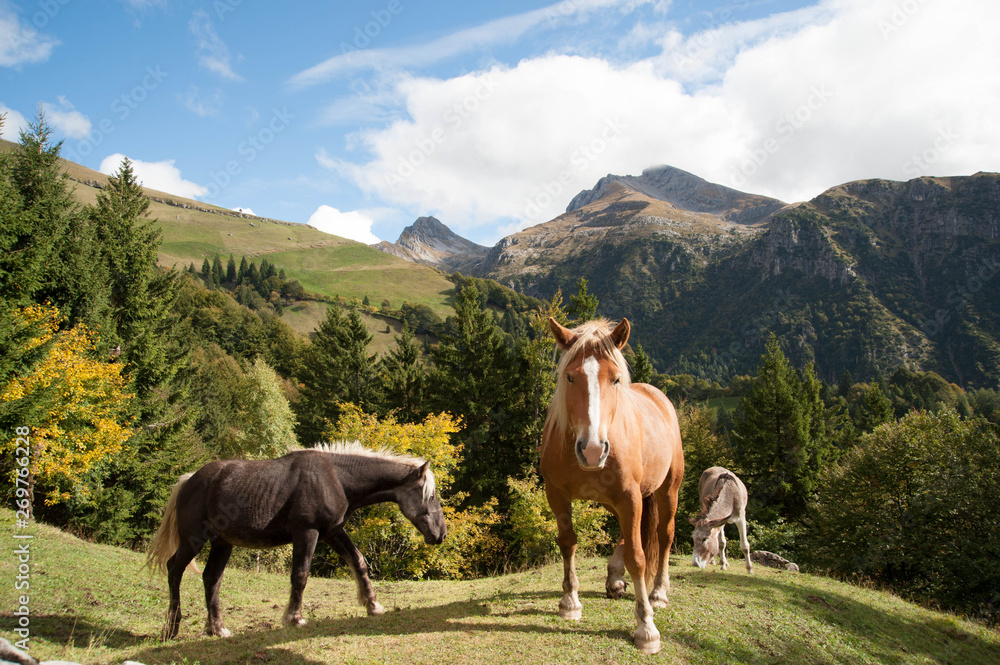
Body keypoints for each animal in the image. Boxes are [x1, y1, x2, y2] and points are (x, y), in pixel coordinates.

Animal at [146, 440, 446, 640]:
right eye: (430, 496)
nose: (441, 534)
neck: (335, 477)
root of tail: (189, 480)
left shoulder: (332, 532)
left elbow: (358, 562)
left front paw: (373, 605)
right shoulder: (307, 532)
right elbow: (300, 575)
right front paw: (294, 618)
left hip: (222, 543)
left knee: (211, 579)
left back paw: (217, 628)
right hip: (193, 540)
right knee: (174, 570)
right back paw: (172, 628)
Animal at [540, 318, 688, 652]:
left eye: (616, 379)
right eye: (570, 376)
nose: (593, 450)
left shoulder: (629, 496)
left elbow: (639, 557)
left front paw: (646, 628)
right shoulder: (557, 495)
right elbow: (567, 542)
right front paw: (570, 602)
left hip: (666, 492)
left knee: (664, 535)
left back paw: (658, 592)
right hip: (618, 501)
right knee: (626, 534)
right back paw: (615, 578)